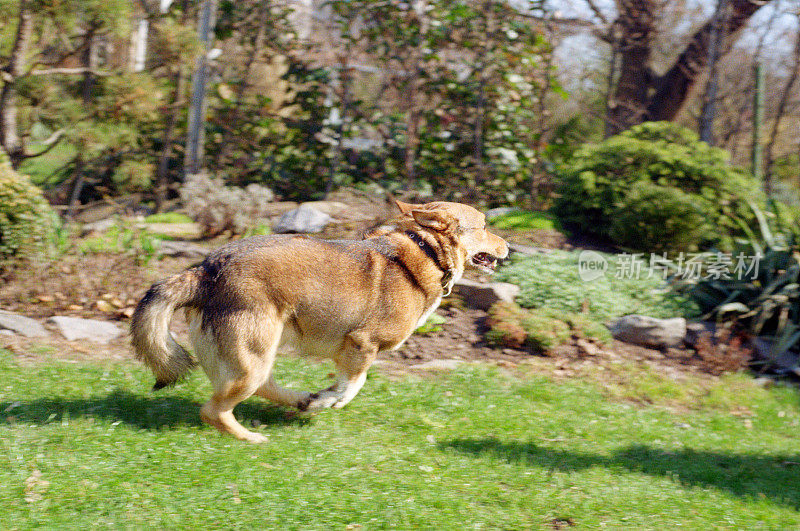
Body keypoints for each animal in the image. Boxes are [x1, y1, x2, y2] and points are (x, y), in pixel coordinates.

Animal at [130, 202, 506, 442]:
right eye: (485, 226)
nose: (509, 247)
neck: (425, 250)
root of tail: (205, 270)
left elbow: (347, 385)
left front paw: (317, 401)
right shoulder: (361, 344)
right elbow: (352, 386)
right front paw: (329, 401)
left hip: (255, 354)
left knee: (261, 386)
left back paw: (300, 400)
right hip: (253, 355)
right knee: (213, 410)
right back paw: (252, 438)